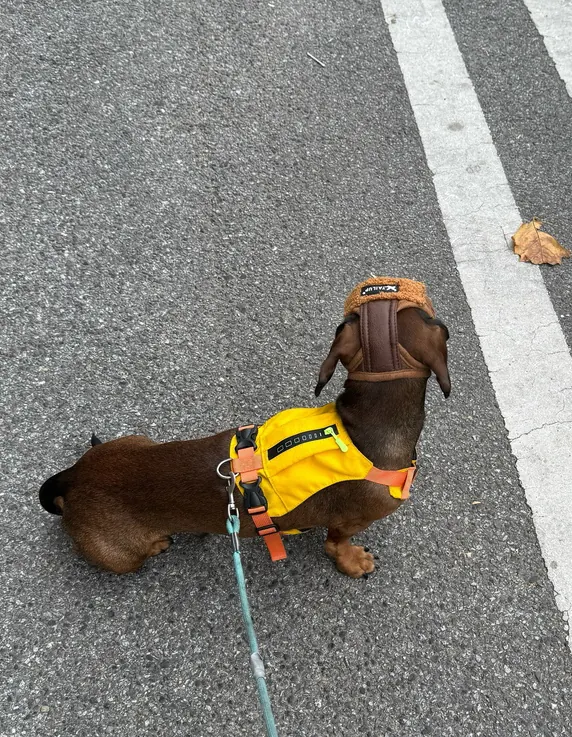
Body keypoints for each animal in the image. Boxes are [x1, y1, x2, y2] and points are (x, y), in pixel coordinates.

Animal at [41, 276, 452, 576]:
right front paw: (354, 563)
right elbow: (337, 545)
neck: (361, 428)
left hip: (137, 440)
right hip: (125, 558)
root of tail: (73, 480)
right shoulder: (350, 523)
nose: (383, 281)